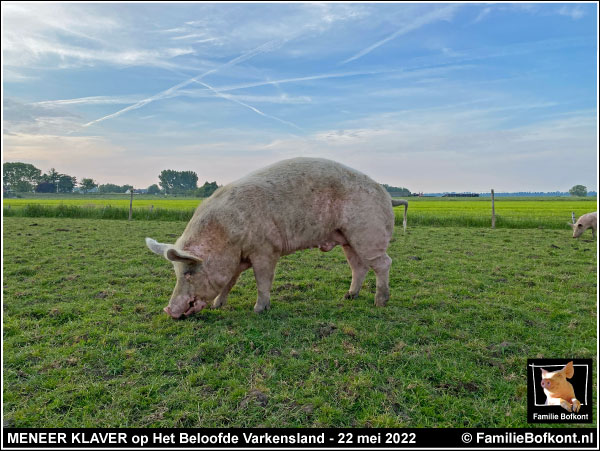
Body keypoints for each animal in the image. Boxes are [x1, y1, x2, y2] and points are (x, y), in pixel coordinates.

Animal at [145, 157, 408, 320]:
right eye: (177, 273)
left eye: (189, 272)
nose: (168, 310)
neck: (227, 234)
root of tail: (388, 195)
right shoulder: (237, 259)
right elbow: (230, 282)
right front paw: (217, 305)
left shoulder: (266, 249)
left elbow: (263, 280)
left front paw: (258, 310)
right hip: (347, 238)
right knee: (358, 266)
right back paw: (348, 296)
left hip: (368, 232)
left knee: (383, 263)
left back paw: (380, 302)